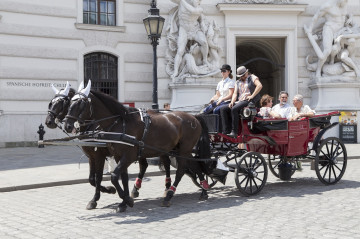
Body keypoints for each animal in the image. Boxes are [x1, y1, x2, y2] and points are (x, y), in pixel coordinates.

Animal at [64, 81, 211, 212]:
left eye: (81, 103)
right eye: (69, 102)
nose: (67, 125)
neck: (120, 124)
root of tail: (194, 117)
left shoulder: (124, 156)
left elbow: (113, 177)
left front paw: (126, 199)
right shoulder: (115, 156)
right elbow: (121, 178)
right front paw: (123, 202)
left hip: (183, 149)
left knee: (181, 170)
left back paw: (169, 195)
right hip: (179, 149)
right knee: (194, 164)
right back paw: (203, 190)